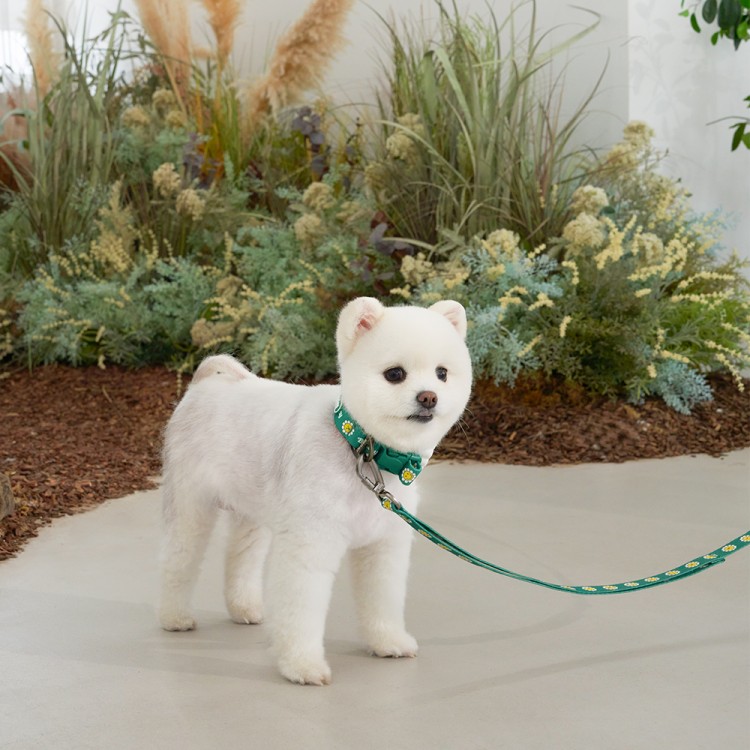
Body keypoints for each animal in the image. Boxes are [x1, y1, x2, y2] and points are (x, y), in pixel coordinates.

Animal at [159, 297, 472, 684]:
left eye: (442, 373)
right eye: (395, 374)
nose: (429, 397)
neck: (362, 452)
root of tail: (205, 385)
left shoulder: (383, 547)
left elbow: (382, 598)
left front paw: (388, 641)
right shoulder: (310, 545)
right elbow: (301, 609)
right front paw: (302, 665)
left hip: (252, 513)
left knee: (241, 558)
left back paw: (244, 607)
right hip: (190, 504)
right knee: (178, 557)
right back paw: (174, 617)